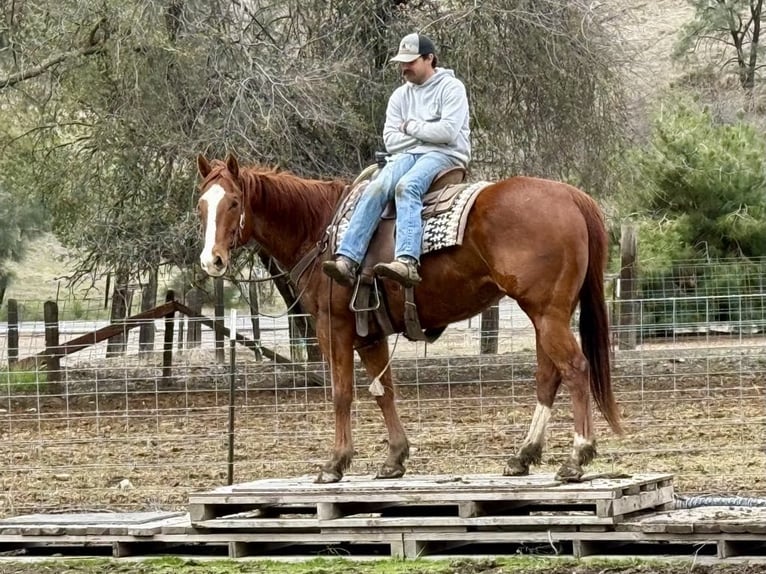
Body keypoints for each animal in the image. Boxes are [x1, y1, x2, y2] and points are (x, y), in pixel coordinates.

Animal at [195, 153, 622, 483]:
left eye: (234, 202)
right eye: (201, 205)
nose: (211, 260)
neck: (320, 230)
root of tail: (571, 195)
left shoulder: (333, 326)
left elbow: (342, 393)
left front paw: (335, 463)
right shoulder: (370, 333)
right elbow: (385, 393)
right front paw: (394, 458)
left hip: (547, 313)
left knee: (576, 368)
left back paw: (577, 456)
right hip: (546, 314)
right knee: (549, 377)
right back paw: (523, 456)